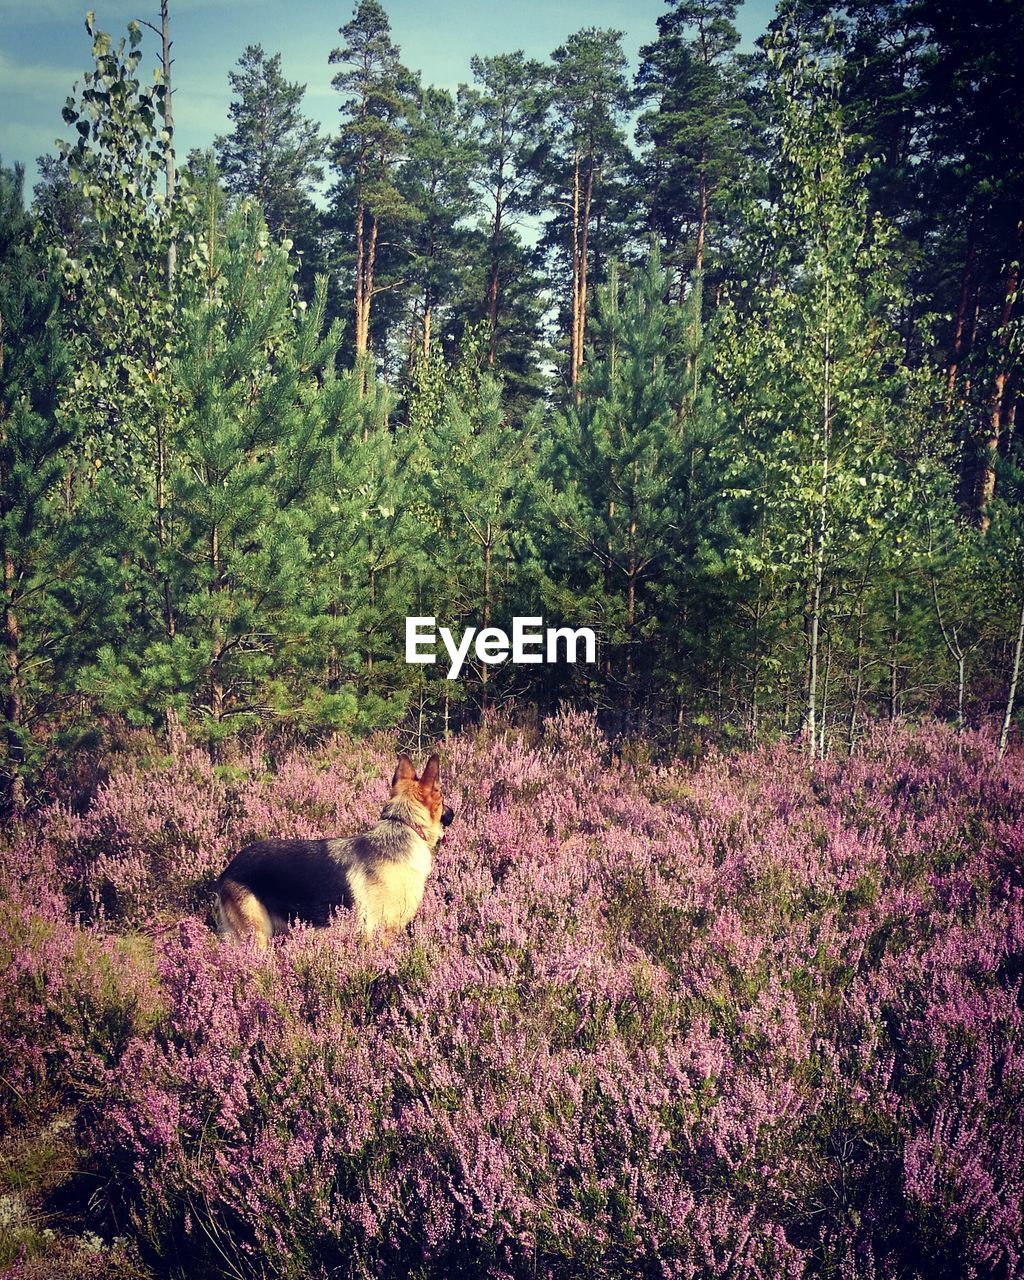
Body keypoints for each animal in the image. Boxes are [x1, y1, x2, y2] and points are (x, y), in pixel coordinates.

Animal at [215, 747, 453, 952]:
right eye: (442, 796)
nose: (454, 813)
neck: (404, 825)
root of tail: (229, 868)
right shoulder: (380, 935)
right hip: (257, 937)